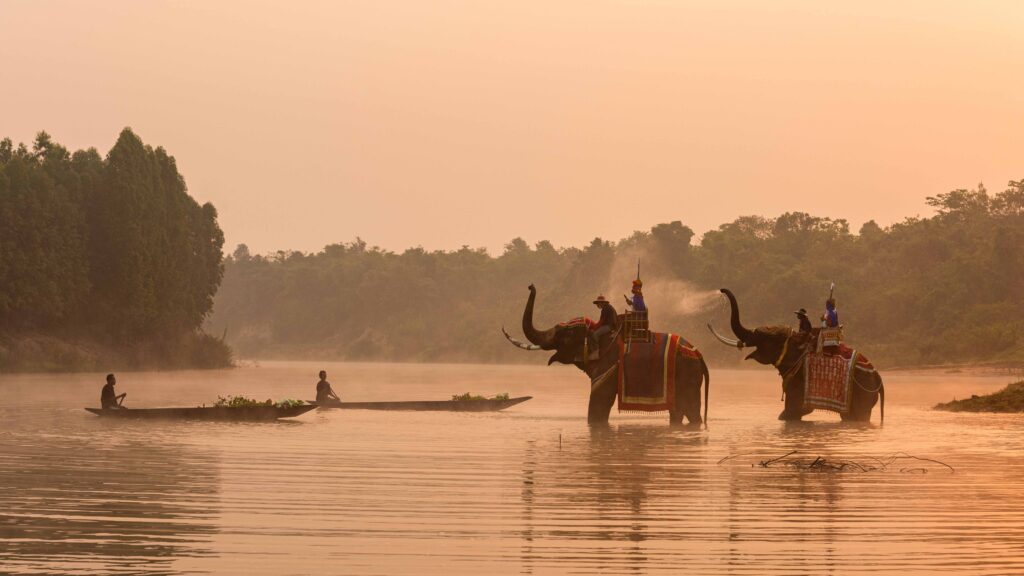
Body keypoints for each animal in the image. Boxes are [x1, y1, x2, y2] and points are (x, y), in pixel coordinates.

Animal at [499, 282, 708, 426]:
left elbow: (599, 399)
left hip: (687, 374)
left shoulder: (609, 363)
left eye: (564, 336)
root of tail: (699, 354)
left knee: (689, 409)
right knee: (682, 411)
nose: (530, 285)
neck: (596, 331)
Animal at [712, 286, 880, 422]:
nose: (721, 290)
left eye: (764, 337)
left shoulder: (799, 377)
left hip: (864, 390)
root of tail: (877, 376)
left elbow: (794, 411)